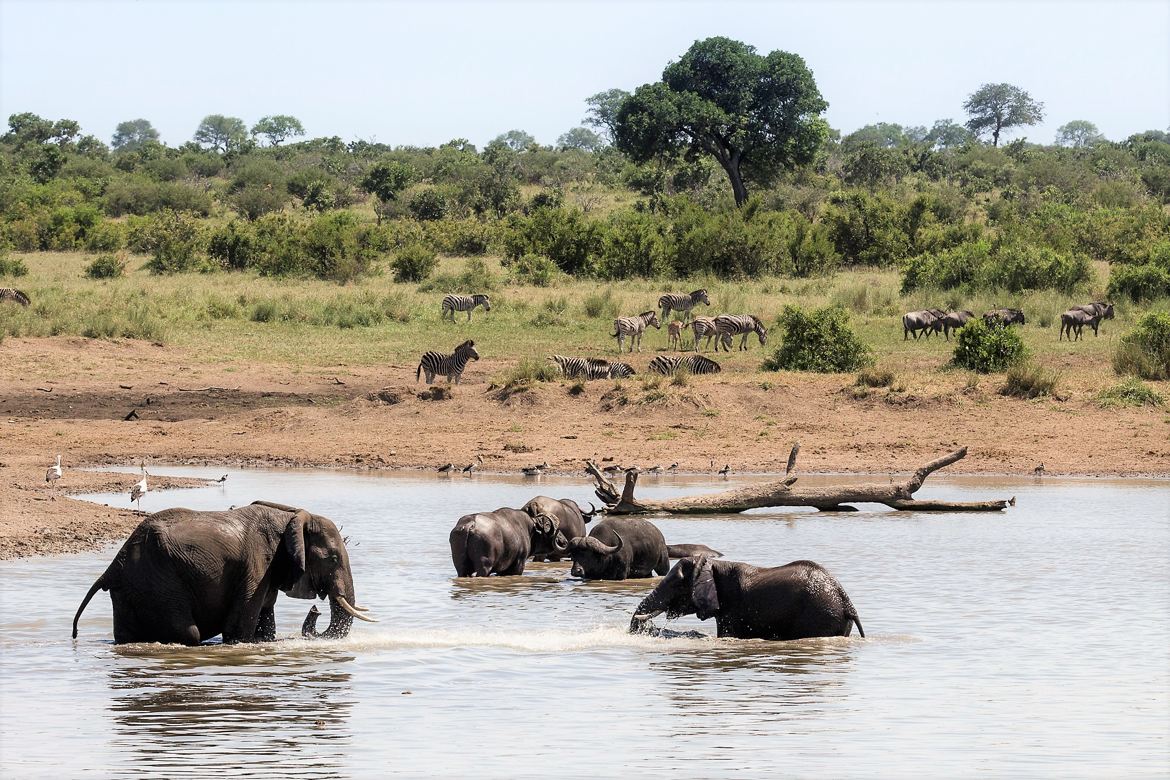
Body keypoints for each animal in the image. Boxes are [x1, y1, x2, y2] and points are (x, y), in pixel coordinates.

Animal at [566, 519, 720, 580]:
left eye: (588, 554)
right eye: (574, 555)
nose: (575, 571)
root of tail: (660, 536)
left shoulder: (621, 574)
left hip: (663, 564)